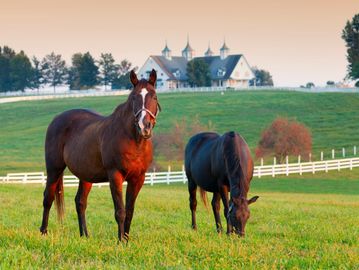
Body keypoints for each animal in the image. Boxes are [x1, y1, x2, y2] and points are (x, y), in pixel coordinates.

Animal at [40, 69, 161, 240]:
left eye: (154, 96)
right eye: (134, 97)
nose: (145, 126)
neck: (134, 141)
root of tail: (56, 119)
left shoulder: (138, 179)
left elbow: (130, 212)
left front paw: (126, 239)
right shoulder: (115, 175)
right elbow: (120, 211)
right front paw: (120, 241)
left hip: (85, 175)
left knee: (80, 202)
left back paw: (84, 235)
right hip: (54, 169)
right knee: (48, 198)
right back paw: (43, 232)